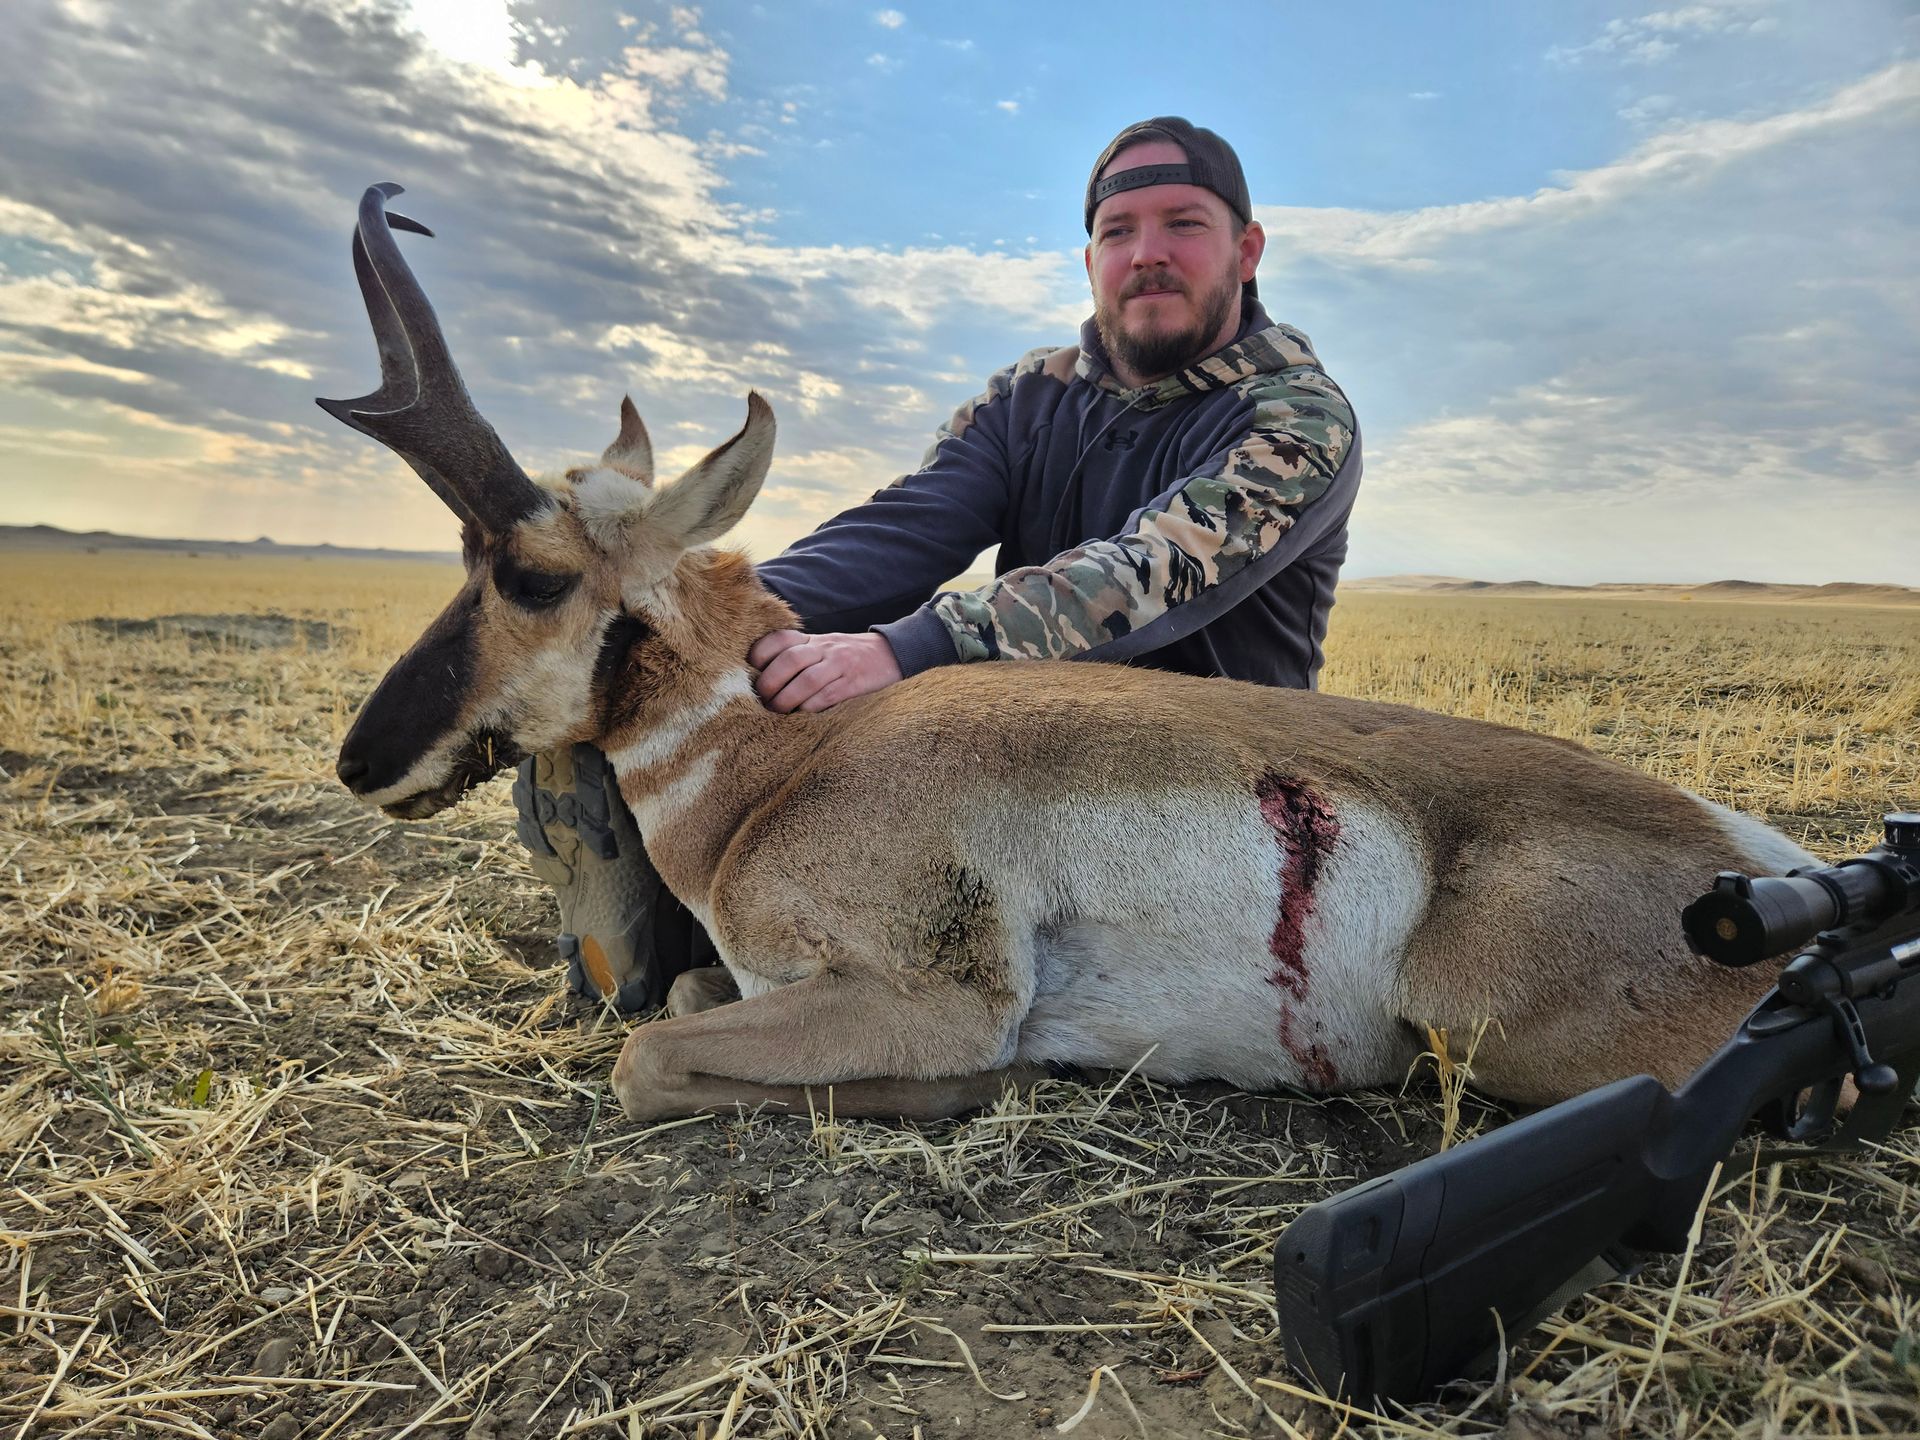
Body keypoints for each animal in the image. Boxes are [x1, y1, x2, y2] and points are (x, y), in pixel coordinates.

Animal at [321, 185, 1814, 1124]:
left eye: (529, 573)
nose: (358, 762)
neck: (778, 763)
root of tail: (1761, 866)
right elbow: (680, 991)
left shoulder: (930, 999)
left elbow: (648, 1056)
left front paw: (982, 1089)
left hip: (1485, 1025)